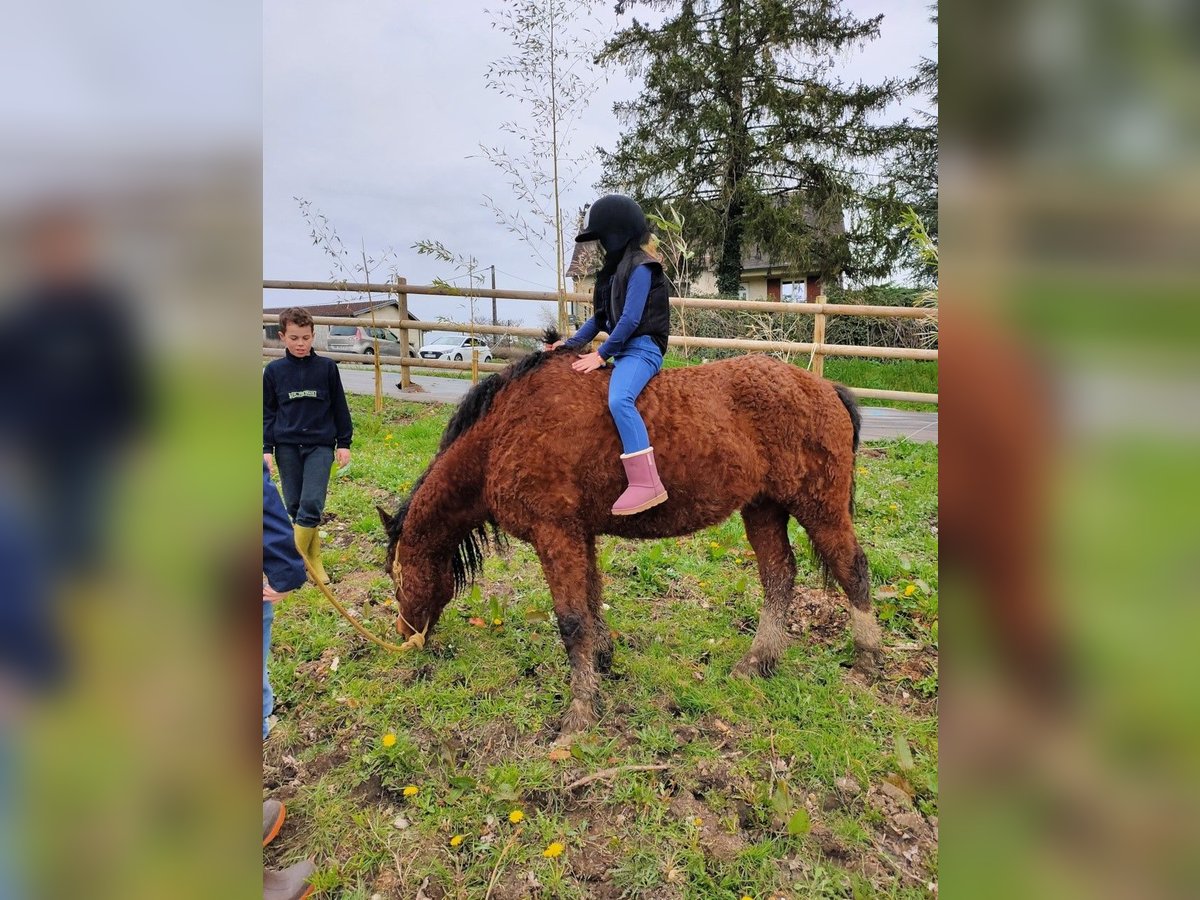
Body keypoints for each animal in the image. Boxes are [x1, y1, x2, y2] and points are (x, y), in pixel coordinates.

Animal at [379, 348, 888, 734]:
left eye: (395, 574)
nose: (404, 635)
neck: (505, 431)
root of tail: (825, 388)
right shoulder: (579, 534)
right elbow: (591, 600)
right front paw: (602, 661)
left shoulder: (555, 534)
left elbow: (571, 622)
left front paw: (579, 713)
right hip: (763, 509)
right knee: (779, 575)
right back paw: (758, 660)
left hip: (819, 508)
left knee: (852, 569)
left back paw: (866, 661)